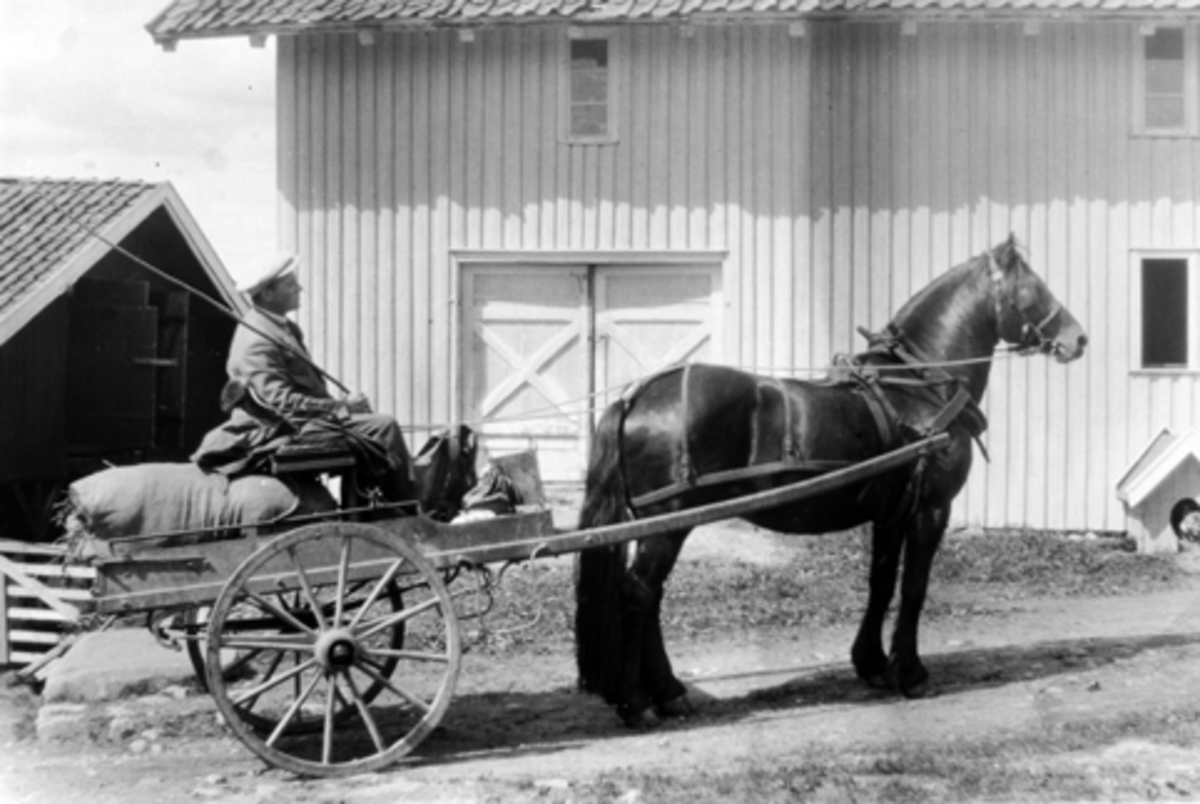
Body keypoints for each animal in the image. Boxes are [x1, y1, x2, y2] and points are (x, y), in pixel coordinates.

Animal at [571, 235, 1089, 729]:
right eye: (1032, 287)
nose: (1078, 338)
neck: (919, 387)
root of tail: (636, 398)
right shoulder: (931, 509)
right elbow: (914, 588)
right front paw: (912, 674)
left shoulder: (890, 514)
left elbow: (881, 583)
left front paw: (873, 664)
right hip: (668, 523)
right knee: (639, 594)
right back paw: (639, 703)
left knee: (650, 596)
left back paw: (669, 693)